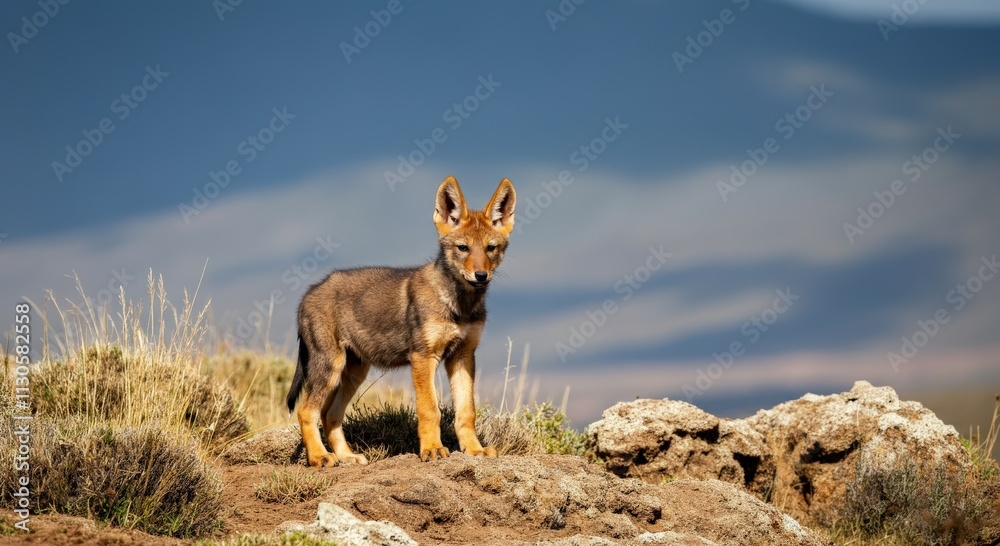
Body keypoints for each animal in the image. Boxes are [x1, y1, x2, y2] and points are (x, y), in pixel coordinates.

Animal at [286, 176, 516, 466]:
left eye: (490, 249)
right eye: (463, 248)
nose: (481, 275)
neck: (458, 305)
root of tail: (307, 295)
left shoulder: (463, 356)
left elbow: (466, 412)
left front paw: (475, 450)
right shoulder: (423, 357)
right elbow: (430, 410)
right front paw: (432, 449)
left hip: (353, 372)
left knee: (330, 415)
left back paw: (346, 457)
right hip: (329, 367)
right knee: (306, 411)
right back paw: (319, 457)